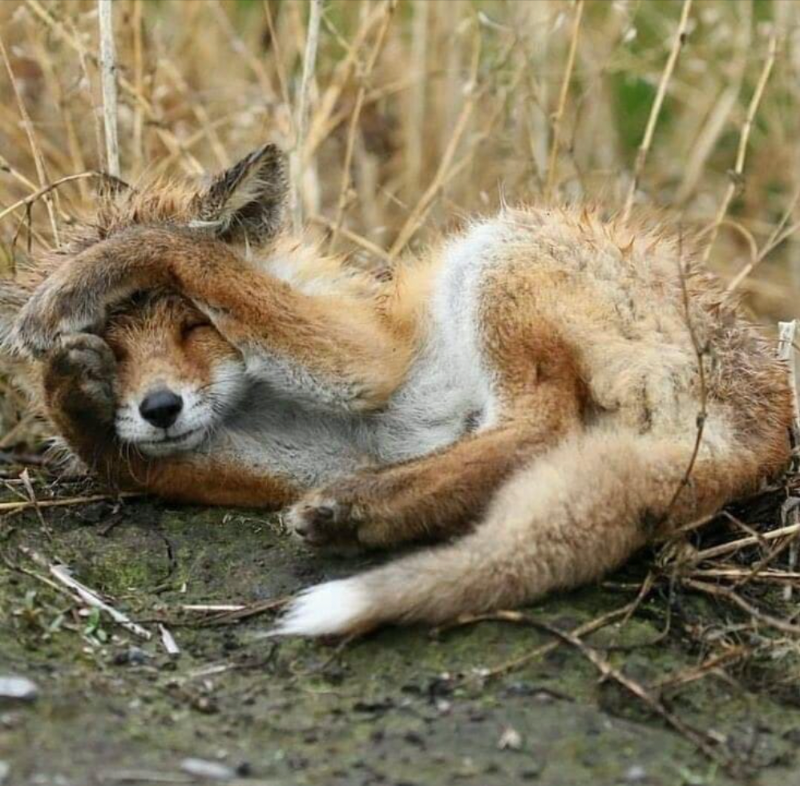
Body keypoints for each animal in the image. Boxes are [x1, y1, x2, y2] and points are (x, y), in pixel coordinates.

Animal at [2, 143, 793, 638]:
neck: (267, 397)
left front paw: (67, 288)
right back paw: (365, 513)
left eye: (194, 326)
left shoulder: (370, 357)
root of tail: (765, 423)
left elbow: (181, 245)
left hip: (496, 252)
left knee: (545, 423)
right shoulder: (330, 451)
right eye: (117, 350)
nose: (160, 409)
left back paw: (366, 508)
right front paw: (74, 392)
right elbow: (126, 461)